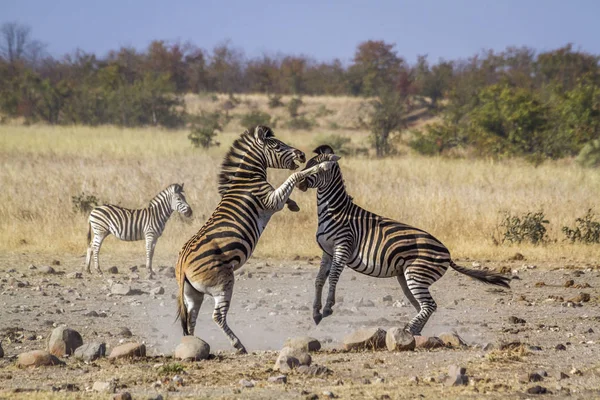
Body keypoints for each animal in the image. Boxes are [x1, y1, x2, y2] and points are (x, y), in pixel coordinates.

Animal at [175, 125, 338, 354]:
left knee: (191, 319)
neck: (249, 178)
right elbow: (293, 176)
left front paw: (294, 205)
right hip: (223, 283)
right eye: (277, 145)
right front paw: (322, 165)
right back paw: (238, 345)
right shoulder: (270, 200)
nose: (302, 155)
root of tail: (182, 263)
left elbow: (287, 188)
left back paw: (194, 344)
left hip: (193, 293)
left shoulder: (272, 197)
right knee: (217, 316)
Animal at [296, 145, 510, 336]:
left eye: (317, 168)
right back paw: (413, 331)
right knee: (424, 306)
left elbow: (333, 276)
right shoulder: (327, 250)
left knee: (430, 305)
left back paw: (409, 329)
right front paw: (316, 312)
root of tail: (448, 254)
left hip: (417, 275)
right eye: (307, 164)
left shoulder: (343, 245)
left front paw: (327, 308)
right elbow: (319, 279)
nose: (299, 183)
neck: (335, 211)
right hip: (408, 277)